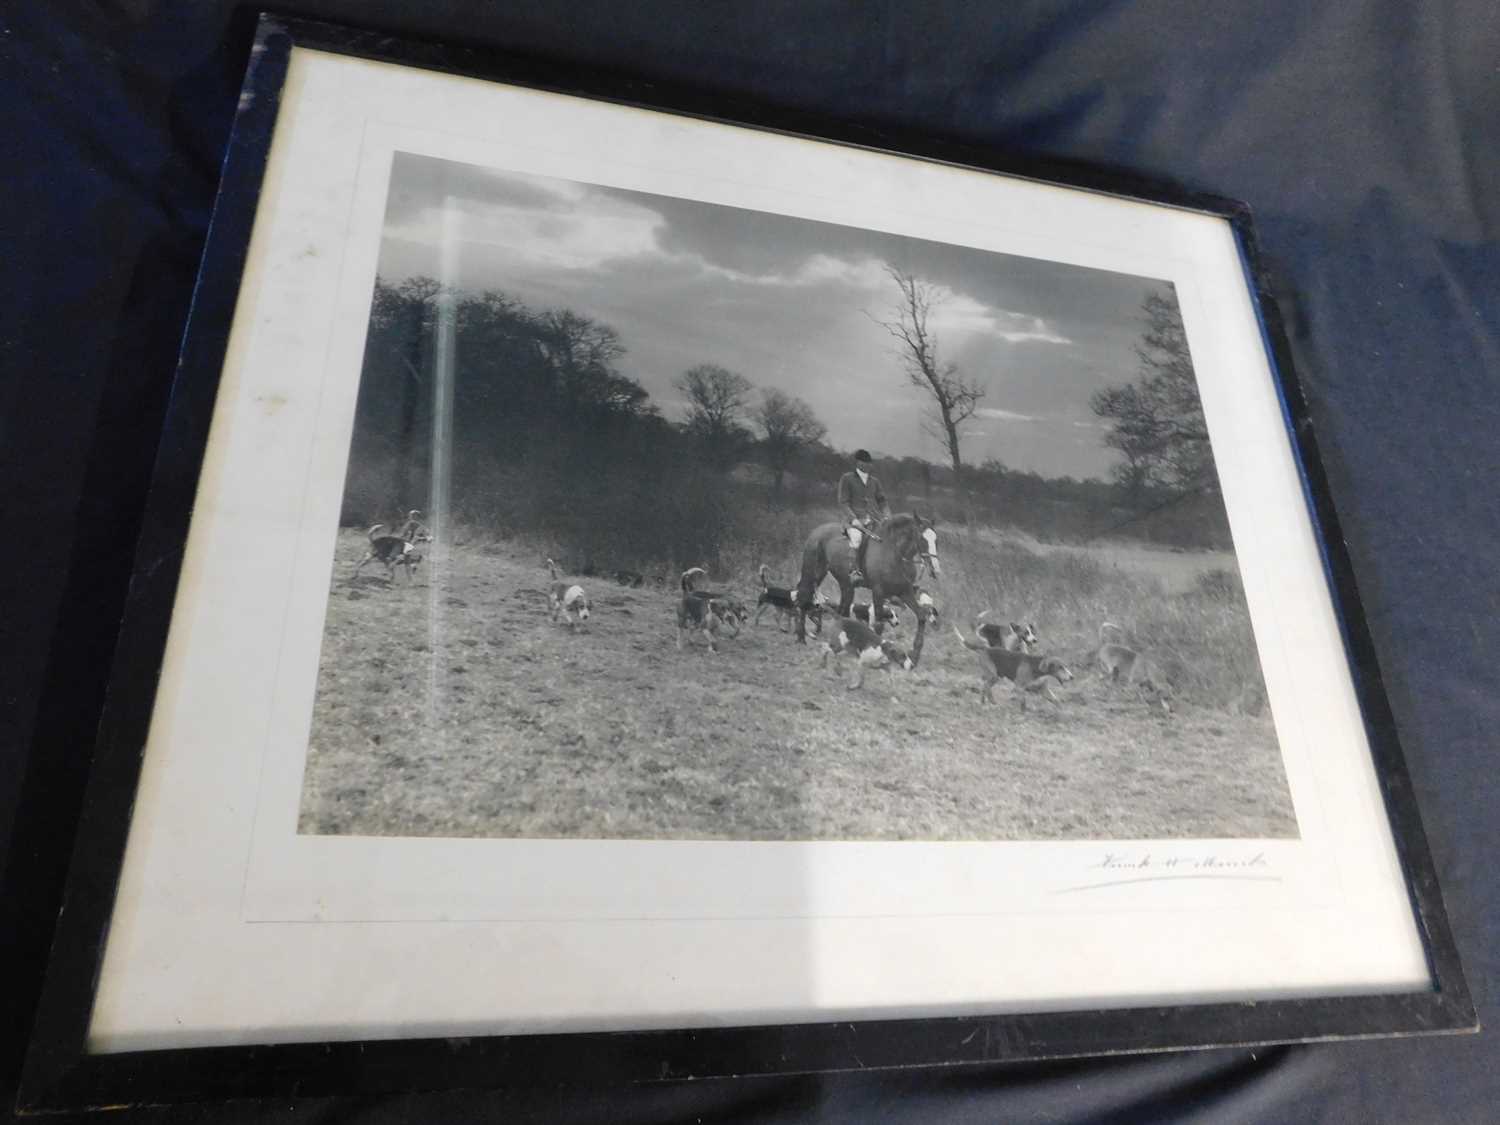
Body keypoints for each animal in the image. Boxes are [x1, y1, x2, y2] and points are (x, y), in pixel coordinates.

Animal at [798, 510, 936, 660]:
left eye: (935, 539)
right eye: (922, 538)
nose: (933, 569)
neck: (894, 554)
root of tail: (817, 531)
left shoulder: (905, 591)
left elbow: (921, 615)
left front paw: (915, 653)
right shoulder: (878, 592)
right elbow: (879, 624)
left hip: (845, 584)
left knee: (842, 610)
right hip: (813, 572)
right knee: (804, 597)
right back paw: (802, 638)